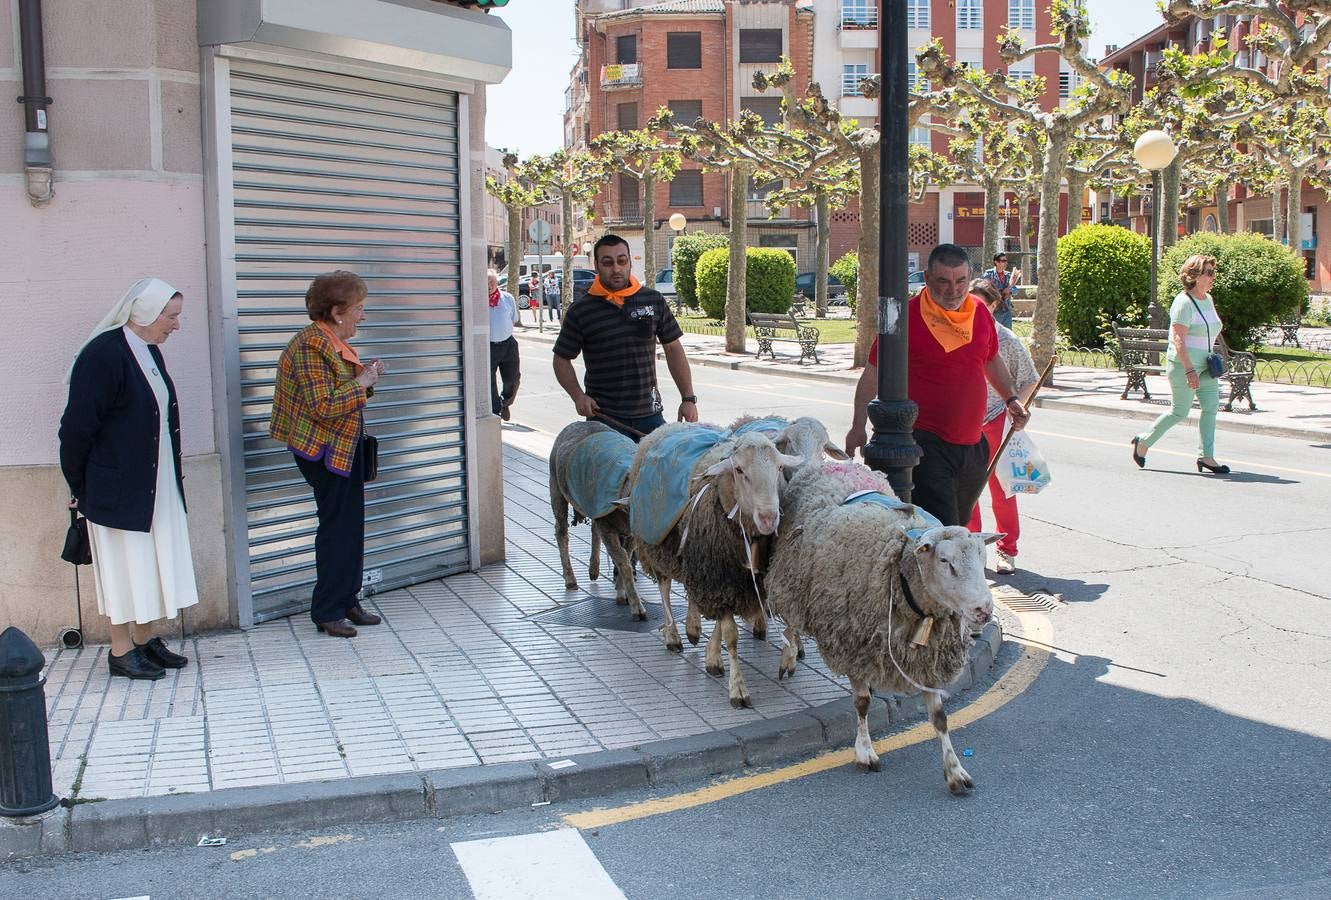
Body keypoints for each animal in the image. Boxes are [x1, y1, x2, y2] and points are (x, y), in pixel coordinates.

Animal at [543, 420, 641, 617]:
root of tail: (576, 423)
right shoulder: (609, 526)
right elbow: (622, 560)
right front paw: (636, 606)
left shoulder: (631, 533)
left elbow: (625, 557)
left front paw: (622, 593)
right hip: (556, 485)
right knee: (561, 532)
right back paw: (570, 580)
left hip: (592, 502)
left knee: (594, 529)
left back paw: (593, 570)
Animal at [625, 420, 798, 708]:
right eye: (739, 470)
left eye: (779, 469)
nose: (768, 517)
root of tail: (667, 427)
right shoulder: (718, 576)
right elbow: (731, 635)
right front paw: (738, 688)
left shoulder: (732, 578)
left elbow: (720, 620)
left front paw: (712, 656)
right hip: (657, 544)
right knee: (664, 588)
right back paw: (673, 635)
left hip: (694, 556)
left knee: (692, 592)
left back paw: (693, 628)